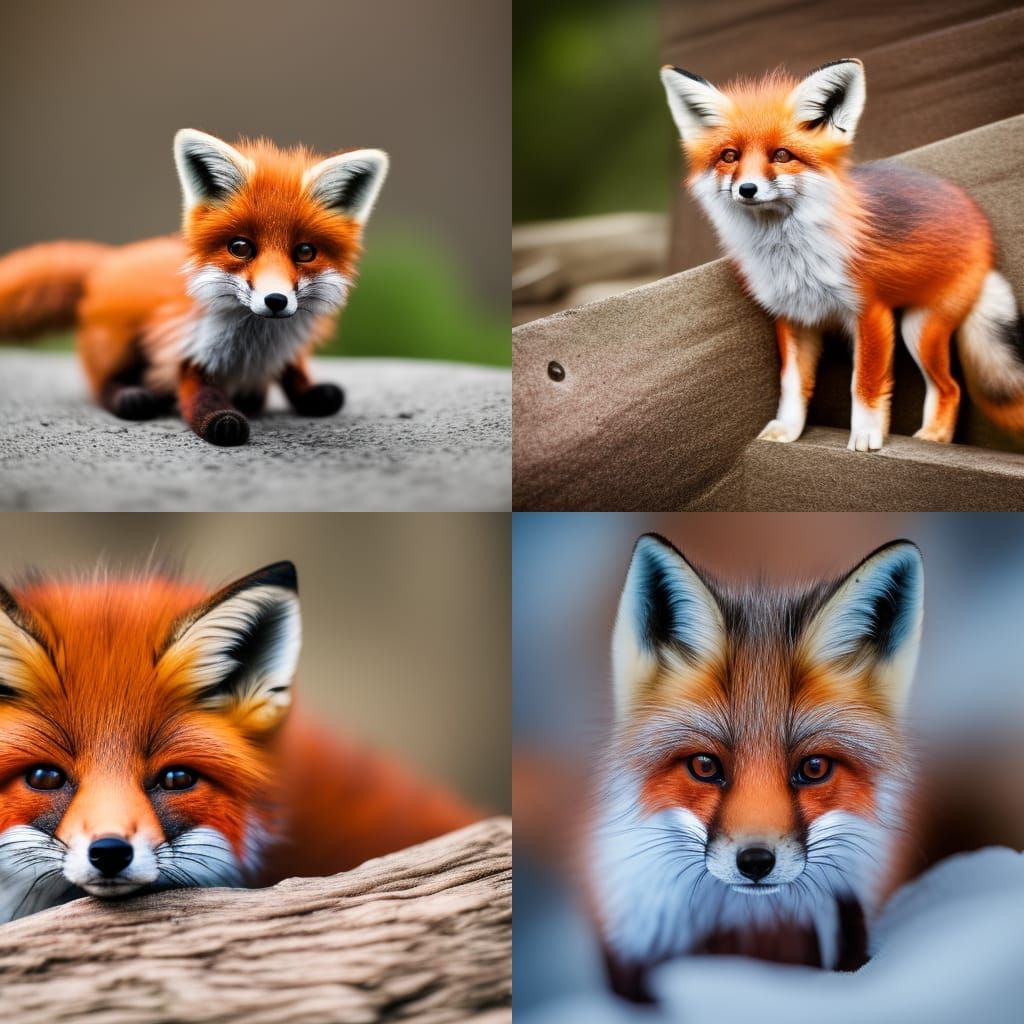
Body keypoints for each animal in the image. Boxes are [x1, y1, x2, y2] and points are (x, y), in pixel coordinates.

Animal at [0, 130, 388, 446]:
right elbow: (200, 398)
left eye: (305, 252)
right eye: (240, 247)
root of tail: (110, 263)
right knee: (102, 384)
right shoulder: (191, 351)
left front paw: (312, 394)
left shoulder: (287, 351)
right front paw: (223, 421)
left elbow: (295, 375)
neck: (257, 346)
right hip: (119, 343)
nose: (276, 300)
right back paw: (131, 397)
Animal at [660, 58, 1024, 452]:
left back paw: (935, 437)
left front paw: (866, 436)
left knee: (951, 388)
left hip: (918, 328)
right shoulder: (793, 316)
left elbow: (864, 383)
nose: (747, 189)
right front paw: (787, 430)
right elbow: (792, 384)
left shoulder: (870, 312)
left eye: (781, 155)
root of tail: (979, 222)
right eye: (730, 156)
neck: (791, 256)